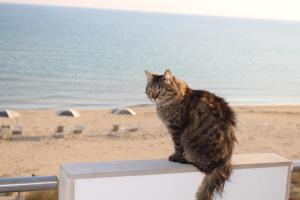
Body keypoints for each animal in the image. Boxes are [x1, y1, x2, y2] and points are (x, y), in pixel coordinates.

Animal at [145, 69, 237, 200]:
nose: (154, 97)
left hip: (189, 140)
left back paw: (184, 160)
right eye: (150, 90)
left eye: (160, 90)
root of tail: (224, 161)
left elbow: (177, 147)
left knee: (202, 166)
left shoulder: (176, 129)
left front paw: (175, 157)